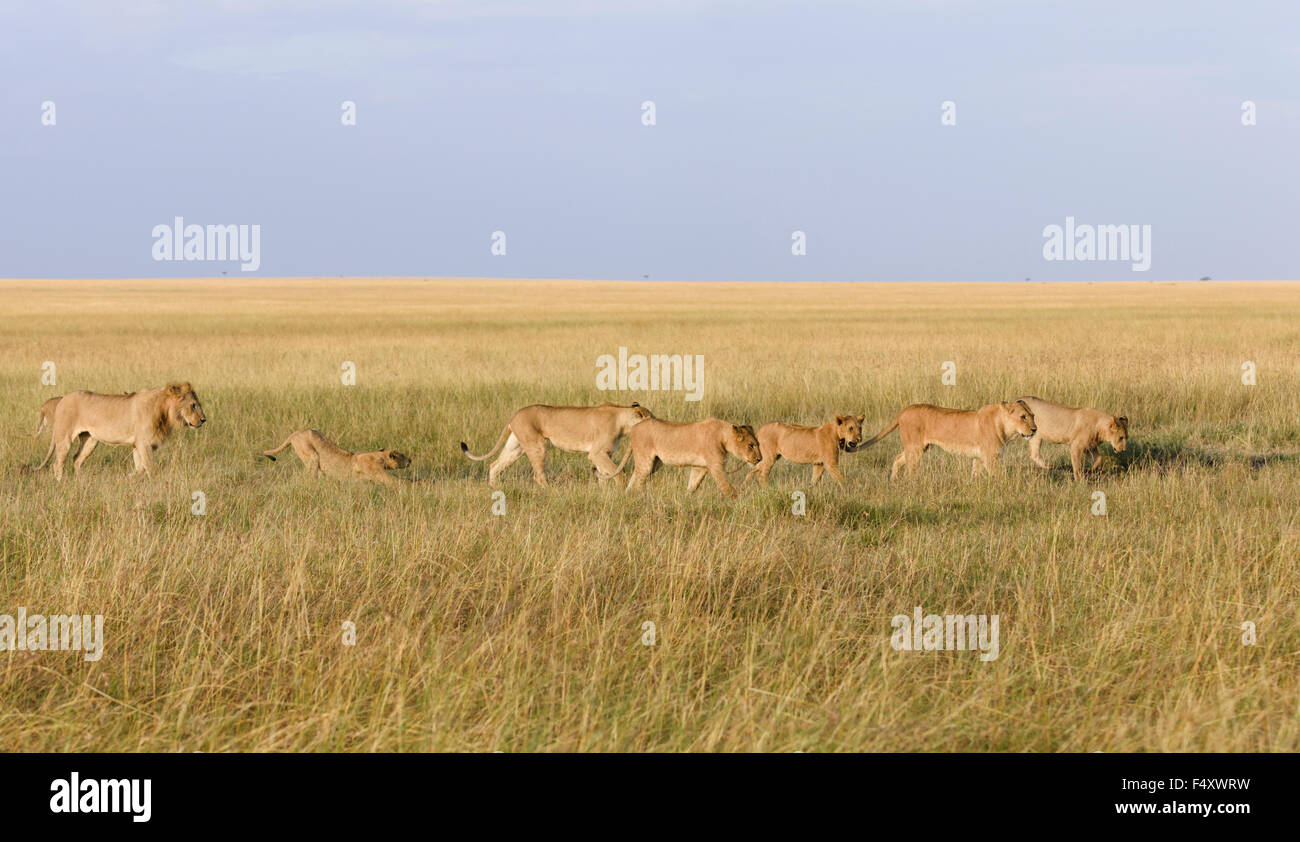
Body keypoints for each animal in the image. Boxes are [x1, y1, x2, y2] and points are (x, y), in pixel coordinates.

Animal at [48, 382, 205, 480]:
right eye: (193, 405)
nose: (204, 419)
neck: (164, 412)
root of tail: (62, 398)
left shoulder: (137, 445)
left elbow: (140, 468)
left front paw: (129, 478)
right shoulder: (144, 443)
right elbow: (150, 467)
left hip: (90, 440)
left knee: (77, 459)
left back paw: (80, 482)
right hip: (64, 437)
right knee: (58, 463)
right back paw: (61, 483)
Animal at [261, 428, 408, 485]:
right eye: (403, 455)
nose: (411, 460)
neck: (378, 455)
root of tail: (295, 433)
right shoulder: (377, 473)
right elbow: (397, 482)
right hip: (312, 456)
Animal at [462, 402, 655, 485]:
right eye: (652, 417)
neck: (623, 420)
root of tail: (515, 414)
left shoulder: (604, 455)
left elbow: (603, 475)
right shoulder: (597, 453)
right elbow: (618, 473)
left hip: (515, 448)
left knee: (494, 465)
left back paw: (495, 488)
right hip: (537, 445)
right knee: (538, 476)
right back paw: (550, 493)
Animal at [613, 418, 764, 496]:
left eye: (758, 444)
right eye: (751, 445)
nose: (760, 459)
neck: (723, 436)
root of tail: (634, 428)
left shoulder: (699, 467)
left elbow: (693, 485)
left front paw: (686, 498)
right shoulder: (716, 467)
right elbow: (727, 488)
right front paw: (738, 502)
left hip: (655, 463)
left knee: (633, 479)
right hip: (646, 462)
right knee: (637, 481)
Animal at [852, 402, 1034, 480]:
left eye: (1032, 416)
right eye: (1023, 417)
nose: (1035, 429)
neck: (1007, 430)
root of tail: (905, 410)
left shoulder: (979, 458)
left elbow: (975, 474)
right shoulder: (990, 458)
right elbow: (999, 476)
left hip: (918, 447)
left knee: (898, 458)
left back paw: (893, 481)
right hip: (915, 449)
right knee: (910, 468)